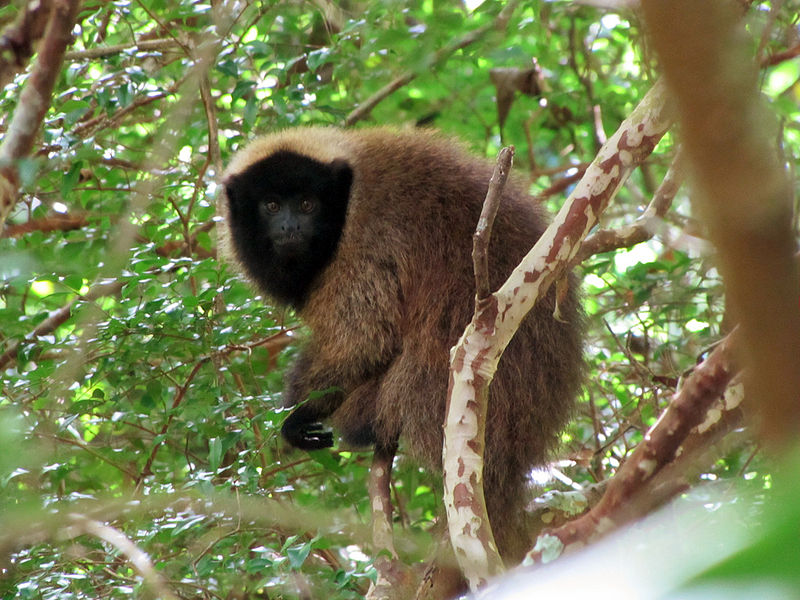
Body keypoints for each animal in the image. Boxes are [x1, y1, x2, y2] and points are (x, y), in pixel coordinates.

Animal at [222, 127, 584, 564]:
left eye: (307, 204)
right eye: (271, 205)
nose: (290, 227)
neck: (347, 202)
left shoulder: (365, 247)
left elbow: (364, 340)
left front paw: (296, 417)